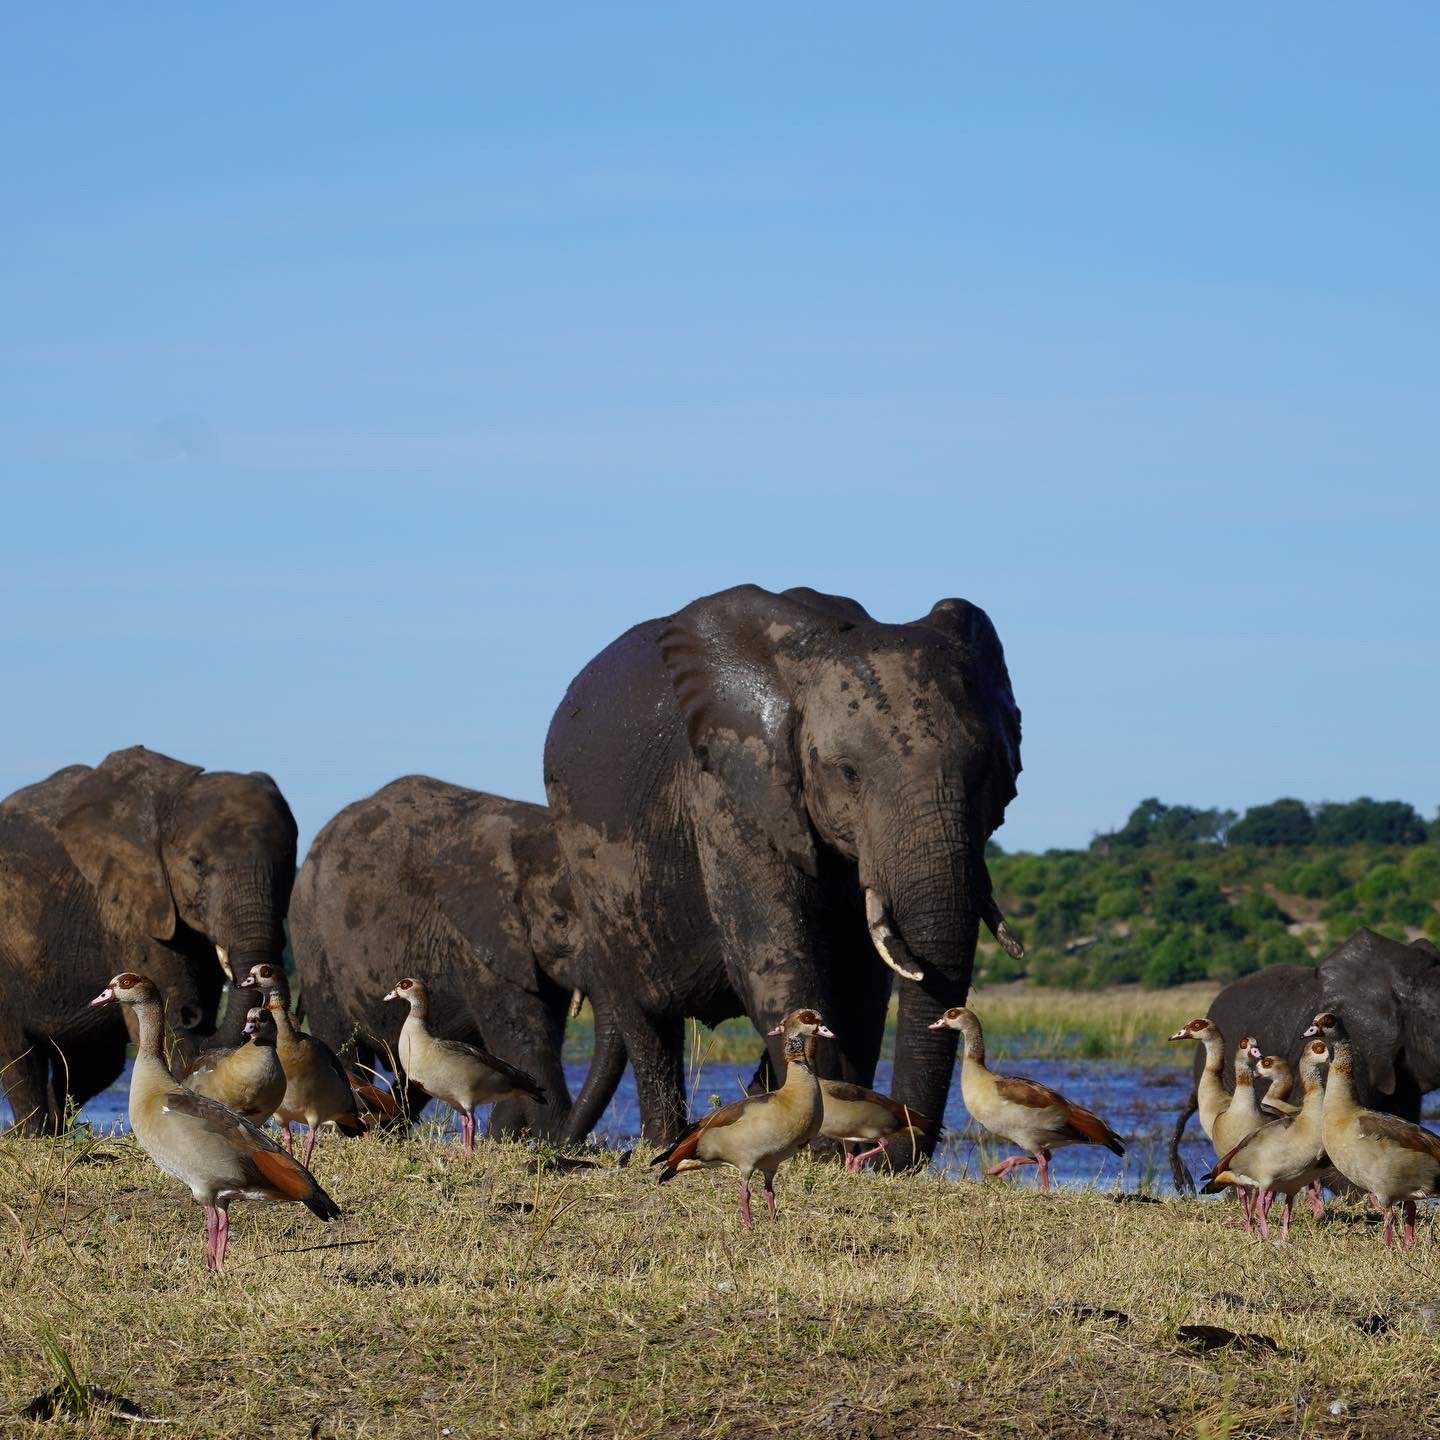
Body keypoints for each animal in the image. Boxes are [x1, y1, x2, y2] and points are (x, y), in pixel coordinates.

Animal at [0, 746, 298, 1133]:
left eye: (289, 864)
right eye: (197, 864)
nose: (193, 1016)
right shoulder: (128, 907)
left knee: (95, 1064)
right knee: (19, 1053)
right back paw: (33, 1132)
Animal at [543, 583, 1023, 1150]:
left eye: (988, 769)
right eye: (848, 773)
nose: (899, 1147)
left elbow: (861, 988)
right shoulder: (728, 792)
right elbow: (779, 962)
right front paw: (823, 1146)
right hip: (588, 869)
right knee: (645, 1021)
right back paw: (662, 1143)